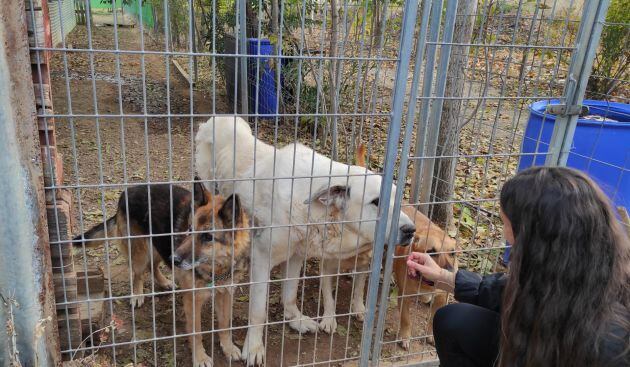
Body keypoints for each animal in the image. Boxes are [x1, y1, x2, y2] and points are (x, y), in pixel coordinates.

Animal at [195, 116, 418, 366]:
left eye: (398, 199)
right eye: (377, 201)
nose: (411, 230)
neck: (318, 211)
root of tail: (220, 119)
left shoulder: (296, 255)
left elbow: (290, 294)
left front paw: (295, 320)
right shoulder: (262, 259)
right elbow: (258, 312)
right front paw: (253, 347)